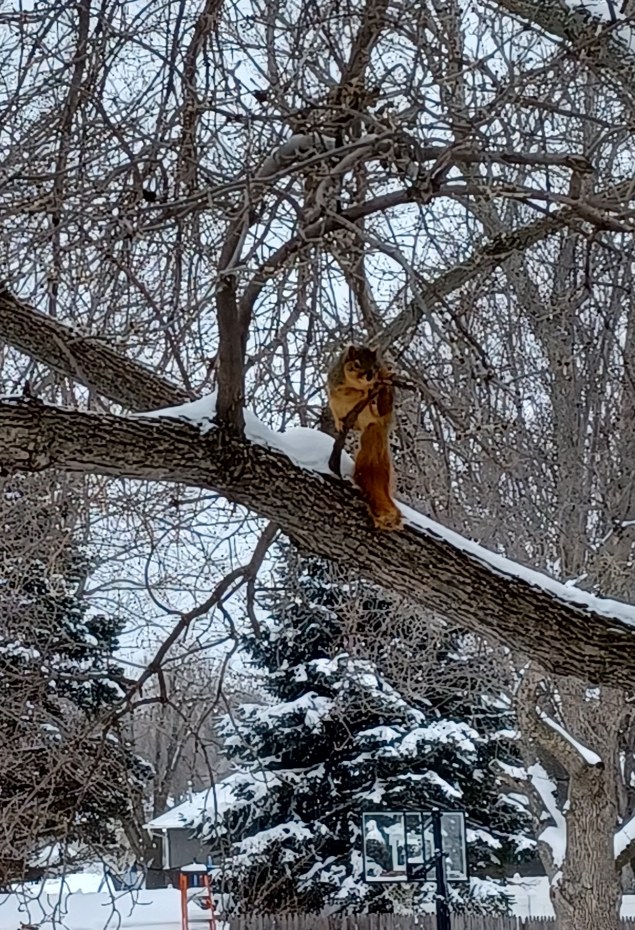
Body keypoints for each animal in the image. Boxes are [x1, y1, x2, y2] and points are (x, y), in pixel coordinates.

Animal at [327, 344, 403, 532]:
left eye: (375, 366)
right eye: (357, 363)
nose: (370, 376)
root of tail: (377, 427)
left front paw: (374, 385)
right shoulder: (336, 384)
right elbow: (347, 392)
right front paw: (362, 391)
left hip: (380, 415)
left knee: (383, 407)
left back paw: (381, 395)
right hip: (338, 406)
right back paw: (342, 422)